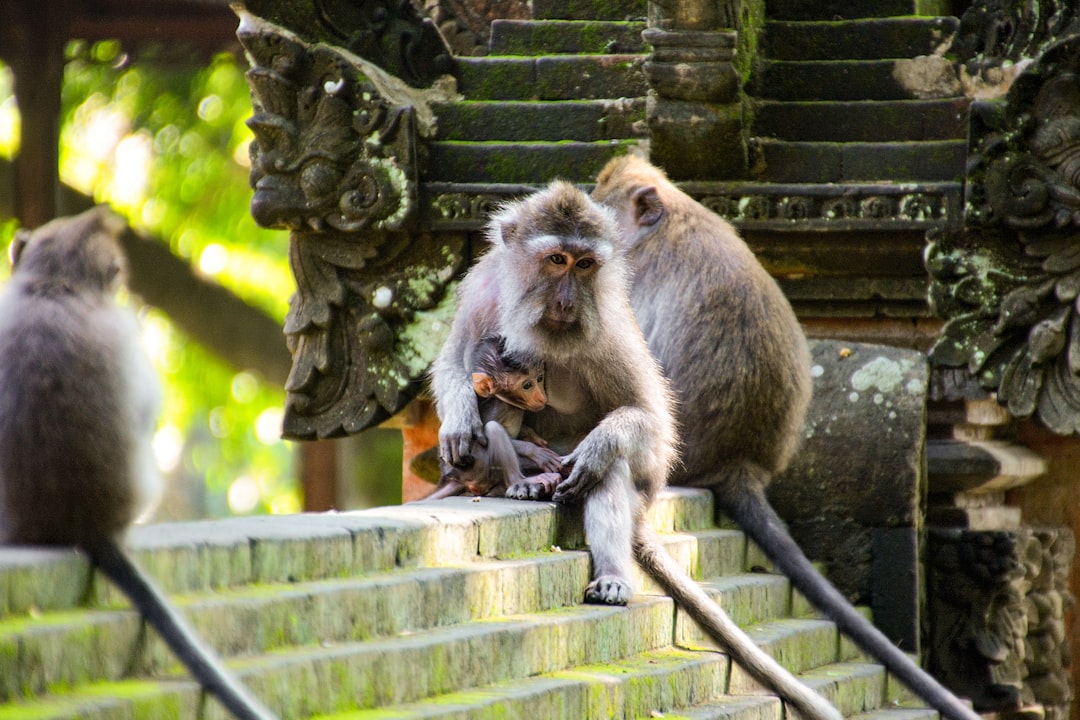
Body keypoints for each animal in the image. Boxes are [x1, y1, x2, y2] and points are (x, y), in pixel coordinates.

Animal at [427, 334, 565, 498]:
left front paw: (530, 434)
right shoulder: (499, 409)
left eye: (539, 378)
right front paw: (536, 452)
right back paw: (521, 480)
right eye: (527, 386)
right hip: (478, 466)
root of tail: (457, 478)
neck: (507, 403)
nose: (542, 398)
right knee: (494, 429)